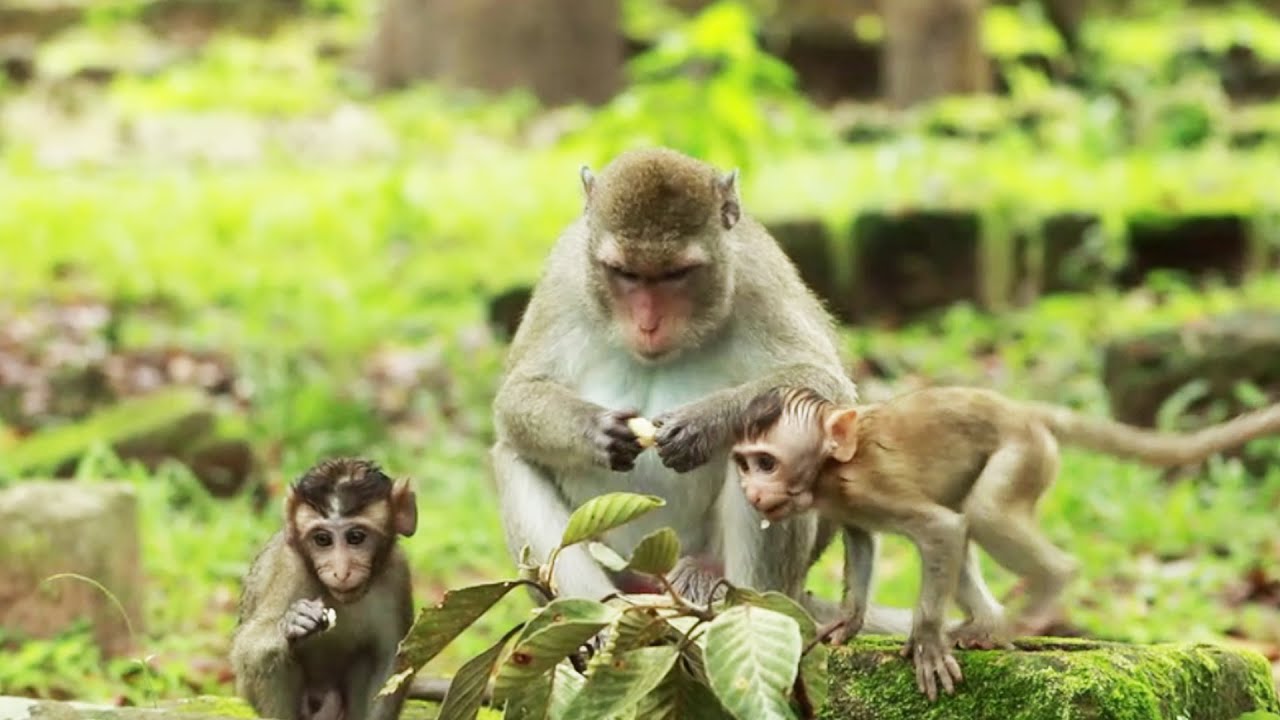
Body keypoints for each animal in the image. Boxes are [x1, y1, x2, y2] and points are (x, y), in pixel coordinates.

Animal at [230, 458, 418, 720]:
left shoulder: (397, 574)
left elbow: (391, 663)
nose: (341, 572)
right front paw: (292, 622)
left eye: (356, 537)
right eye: (322, 539)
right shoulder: (288, 568)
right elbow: (248, 649)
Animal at [488, 146, 928, 634]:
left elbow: (828, 388)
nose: (648, 325)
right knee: (513, 456)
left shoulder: (757, 276)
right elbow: (516, 397)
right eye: (624, 273)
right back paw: (595, 621)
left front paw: (705, 423)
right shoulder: (565, 276)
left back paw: (737, 606)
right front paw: (597, 430)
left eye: (677, 274)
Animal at [730, 384, 1280, 701]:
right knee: (970, 523)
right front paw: (848, 621)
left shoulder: (868, 487)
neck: (829, 470)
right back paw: (987, 624)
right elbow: (864, 543)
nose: (751, 492)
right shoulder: (849, 508)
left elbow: (942, 529)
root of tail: (1020, 409)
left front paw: (926, 641)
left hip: (1024, 453)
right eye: (745, 463)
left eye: (766, 462)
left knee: (982, 516)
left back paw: (1041, 593)